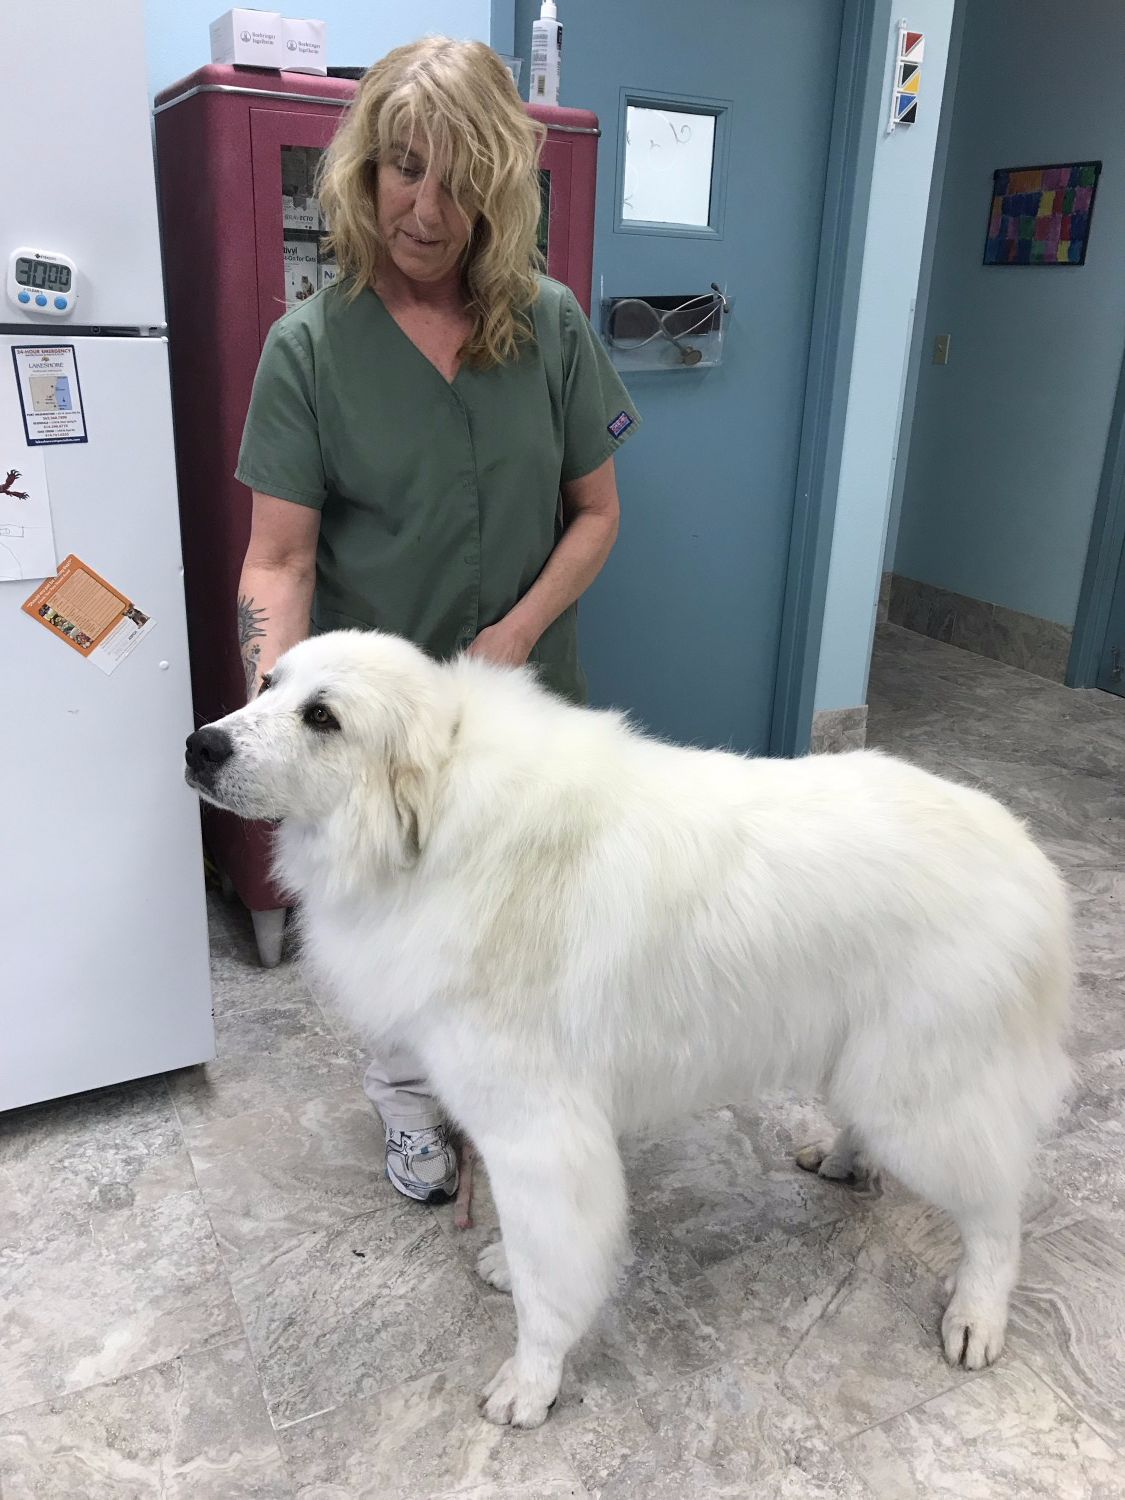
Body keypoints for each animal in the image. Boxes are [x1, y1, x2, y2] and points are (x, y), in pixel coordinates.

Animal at [187, 627, 1074, 1422]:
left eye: (323, 718)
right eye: (266, 682)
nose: (199, 744)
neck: (437, 823)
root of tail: (1030, 857)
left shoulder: (537, 1134)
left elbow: (549, 1279)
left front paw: (532, 1384)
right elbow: (533, 1253)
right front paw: (506, 1275)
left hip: (923, 1099)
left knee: (997, 1214)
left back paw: (976, 1316)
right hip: (868, 1061)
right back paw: (841, 1157)